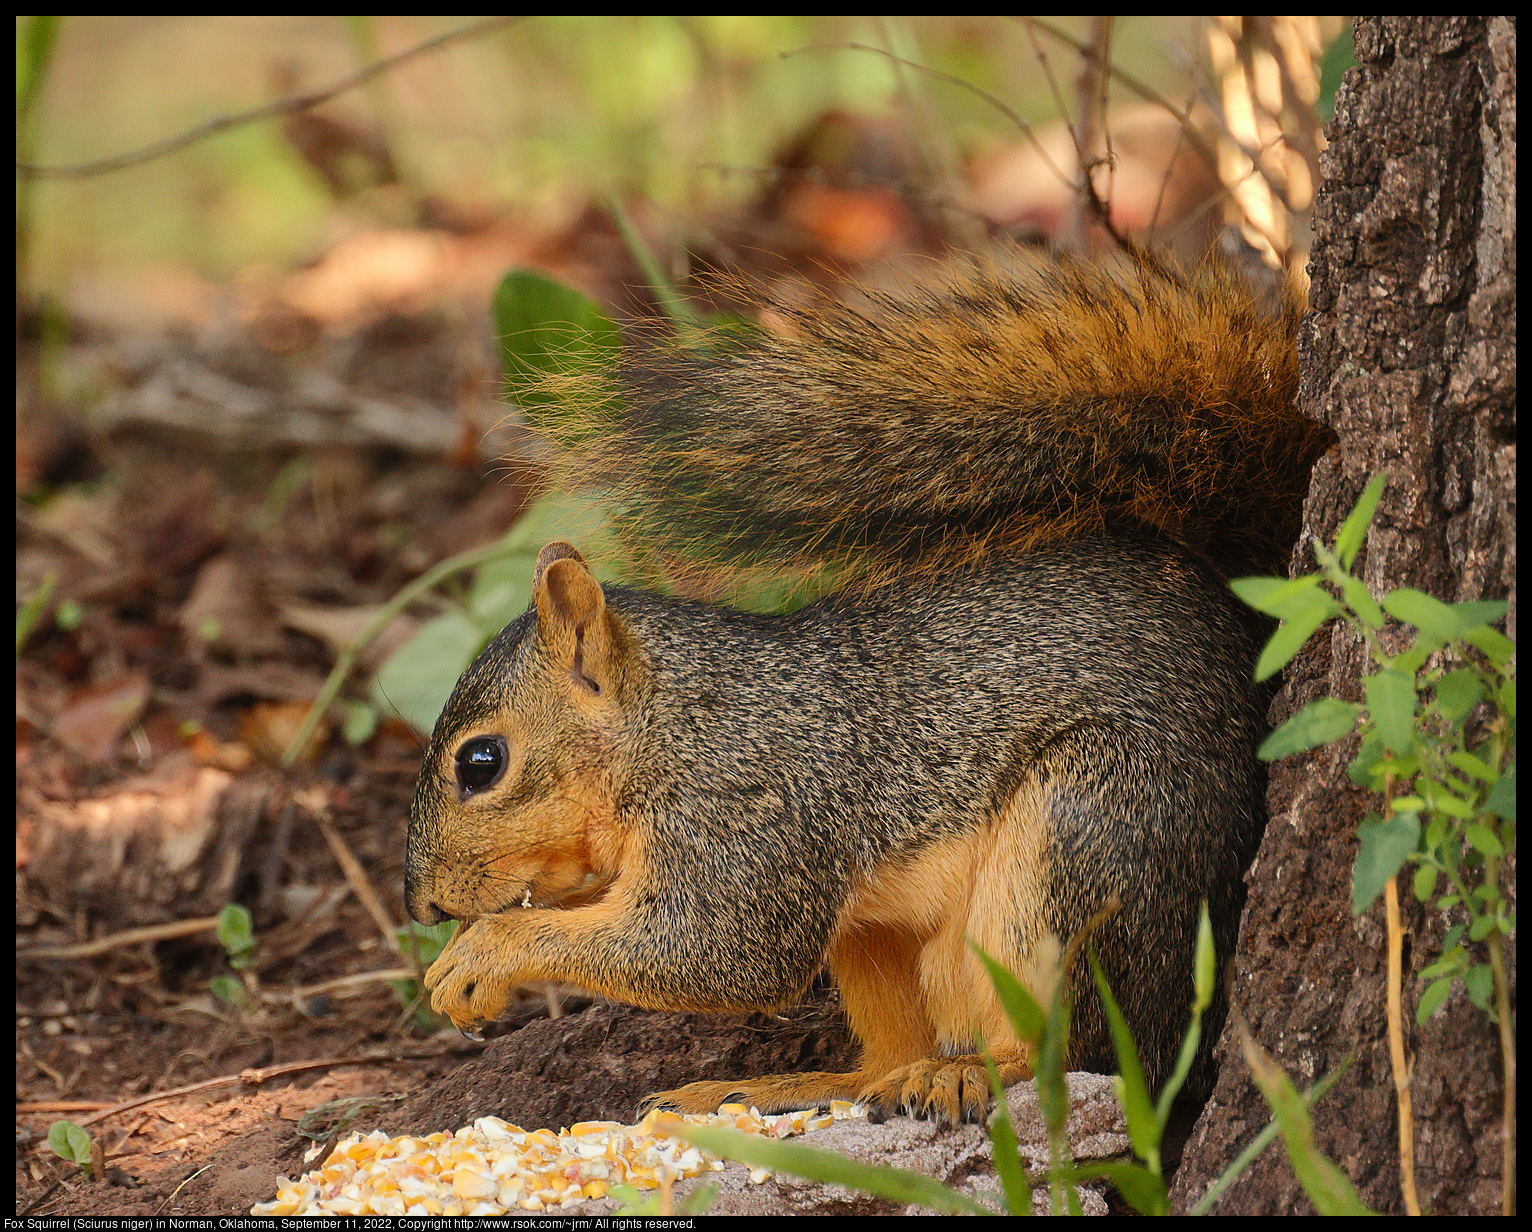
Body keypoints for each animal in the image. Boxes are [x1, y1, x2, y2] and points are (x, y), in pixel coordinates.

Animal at [401, 249, 1335, 1127]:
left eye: (481, 763)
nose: (426, 904)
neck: (672, 724)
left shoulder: (749, 815)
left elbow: (717, 953)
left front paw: (483, 956)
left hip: (1093, 828)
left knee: (1093, 1049)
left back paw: (974, 1071)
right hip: (882, 939)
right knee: (893, 1048)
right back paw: (795, 1084)